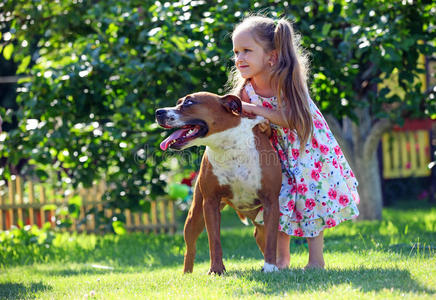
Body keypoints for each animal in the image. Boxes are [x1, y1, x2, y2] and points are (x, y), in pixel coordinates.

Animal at [155, 92, 282, 274]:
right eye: (179, 102)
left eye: (189, 102)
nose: (158, 112)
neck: (228, 146)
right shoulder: (210, 203)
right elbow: (214, 240)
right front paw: (216, 269)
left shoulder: (270, 201)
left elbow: (272, 240)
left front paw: (271, 267)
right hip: (194, 216)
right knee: (190, 248)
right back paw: (187, 273)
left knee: (262, 235)